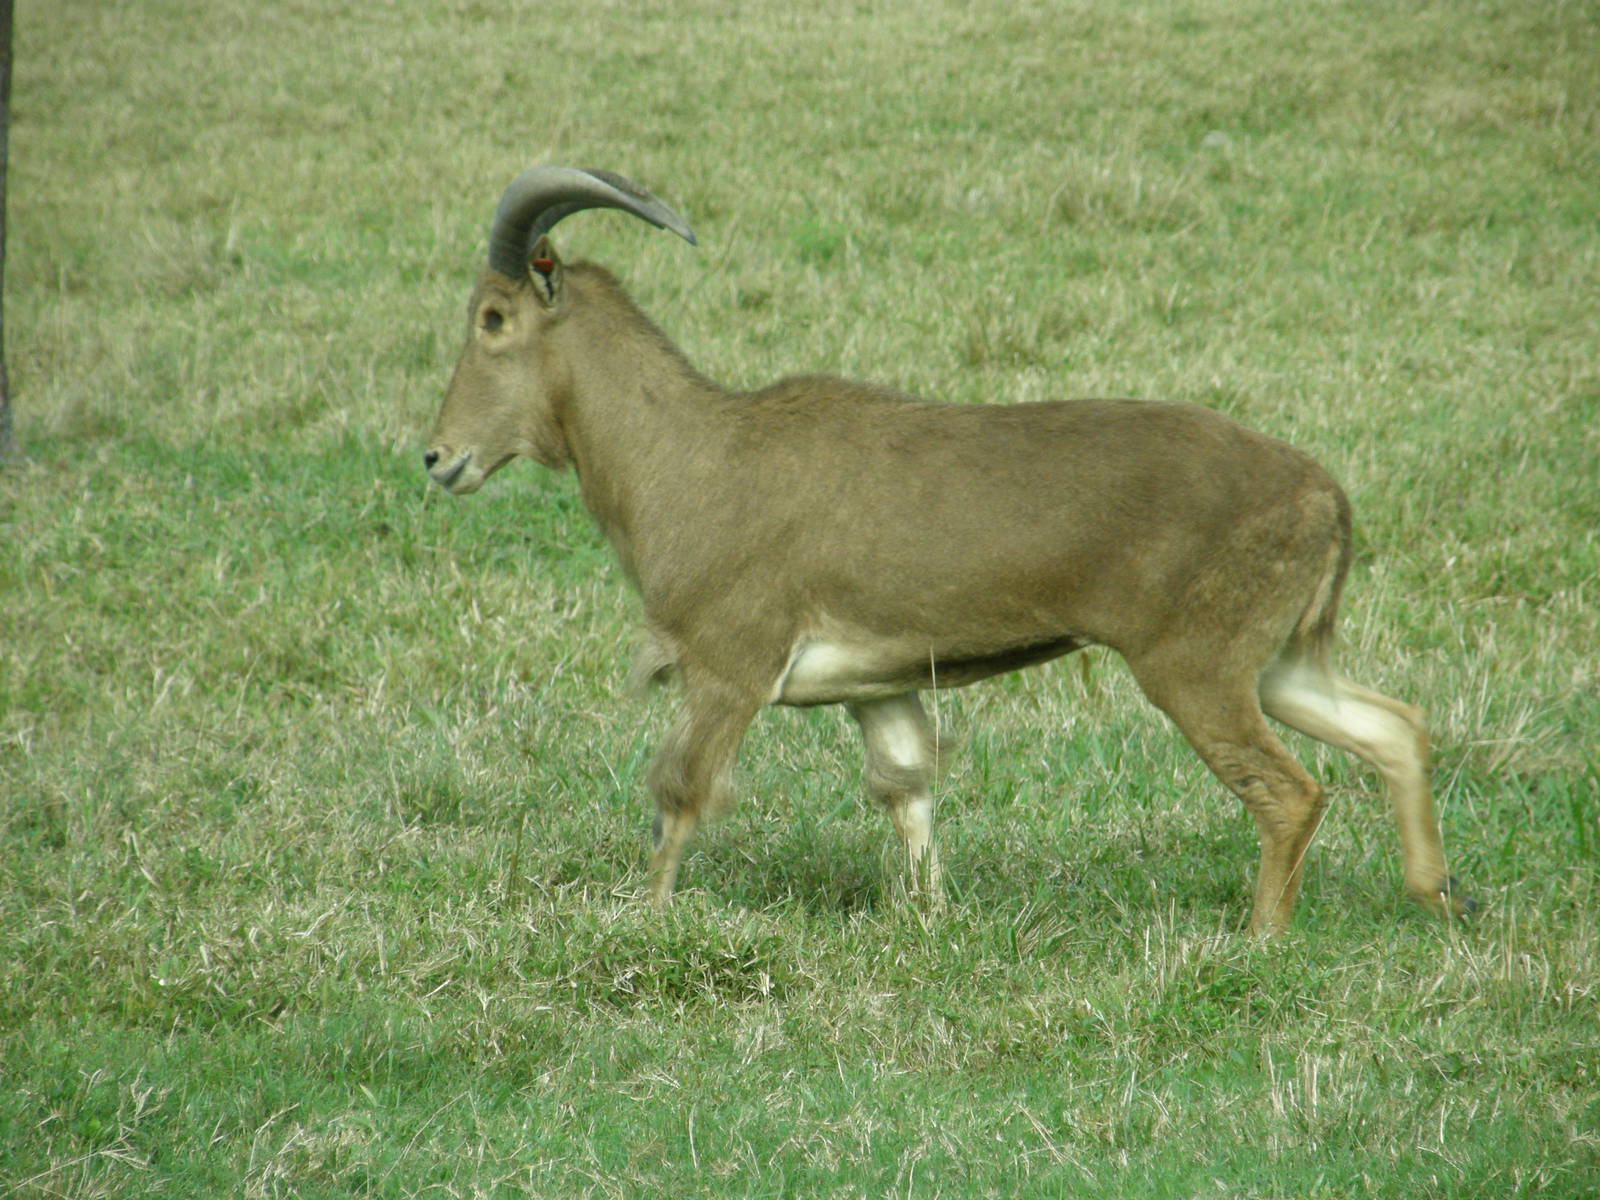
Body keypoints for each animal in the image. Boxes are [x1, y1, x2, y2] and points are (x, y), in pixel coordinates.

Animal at [424, 165, 1470, 934]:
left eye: (493, 319)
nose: (439, 459)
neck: (690, 453)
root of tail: (1324, 494)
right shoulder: (878, 682)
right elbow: (907, 789)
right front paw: (927, 919)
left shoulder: (727, 665)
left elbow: (678, 795)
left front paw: (642, 919)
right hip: (1283, 661)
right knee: (1393, 728)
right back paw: (1435, 893)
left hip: (1197, 668)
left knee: (1290, 791)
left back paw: (1259, 938)